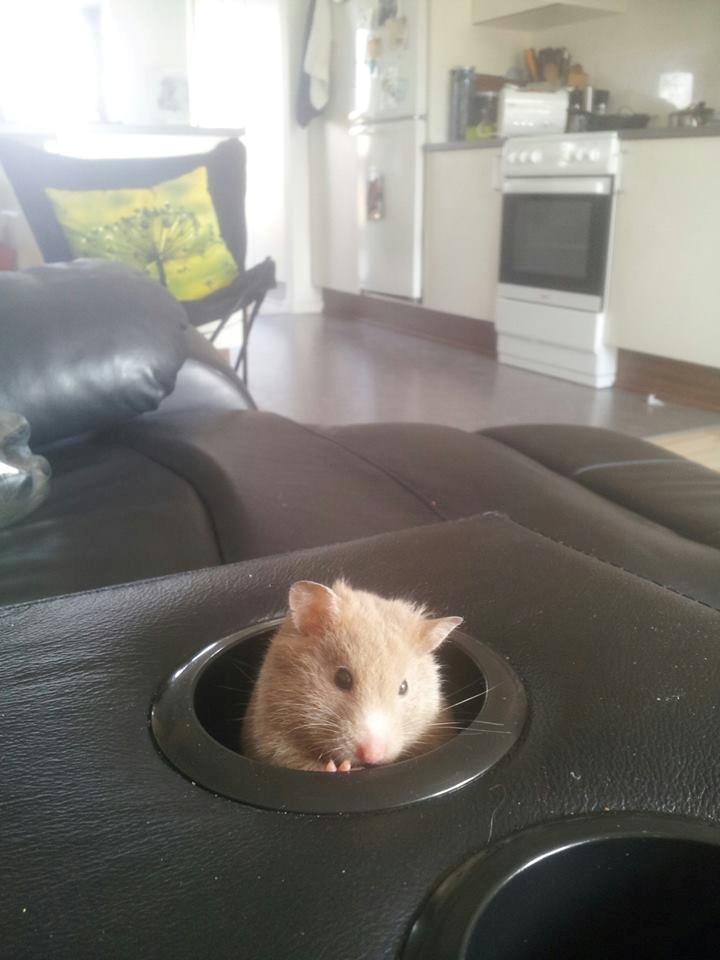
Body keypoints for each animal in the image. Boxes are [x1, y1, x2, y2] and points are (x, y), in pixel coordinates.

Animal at [242, 579, 463, 772]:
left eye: (404, 687)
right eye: (342, 678)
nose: (372, 756)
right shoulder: (270, 732)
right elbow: (289, 758)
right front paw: (339, 768)